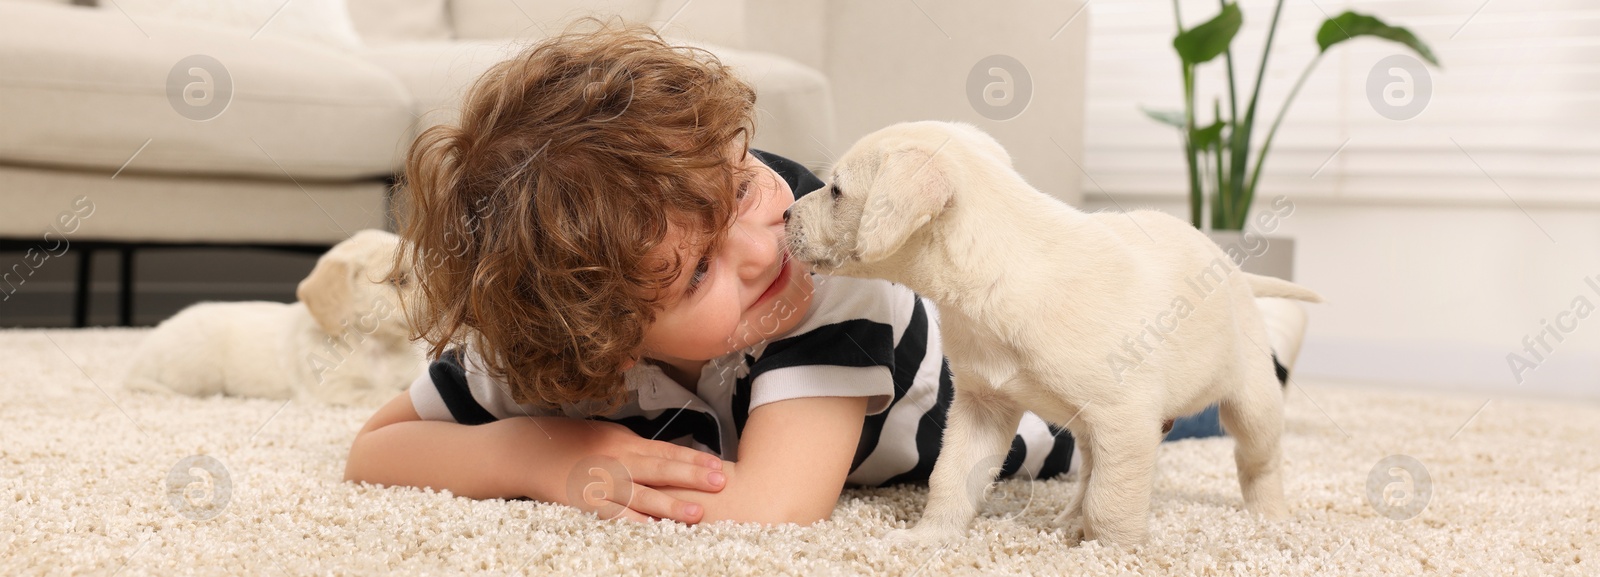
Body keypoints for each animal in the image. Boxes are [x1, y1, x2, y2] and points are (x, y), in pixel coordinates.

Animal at [124, 226, 425, 407]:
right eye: (397, 280)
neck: (378, 346)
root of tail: (141, 356)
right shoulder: (332, 391)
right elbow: (381, 393)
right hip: (198, 373)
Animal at [787, 119, 1324, 543]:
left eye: (835, 191)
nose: (787, 213)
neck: (998, 273)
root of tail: (1233, 270)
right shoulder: (981, 408)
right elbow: (952, 478)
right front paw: (928, 538)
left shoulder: (1126, 419)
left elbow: (1114, 503)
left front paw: (1114, 554)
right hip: (1086, 427)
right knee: (1088, 475)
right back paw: (1068, 520)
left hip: (1251, 403)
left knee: (1258, 462)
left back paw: (1271, 518)